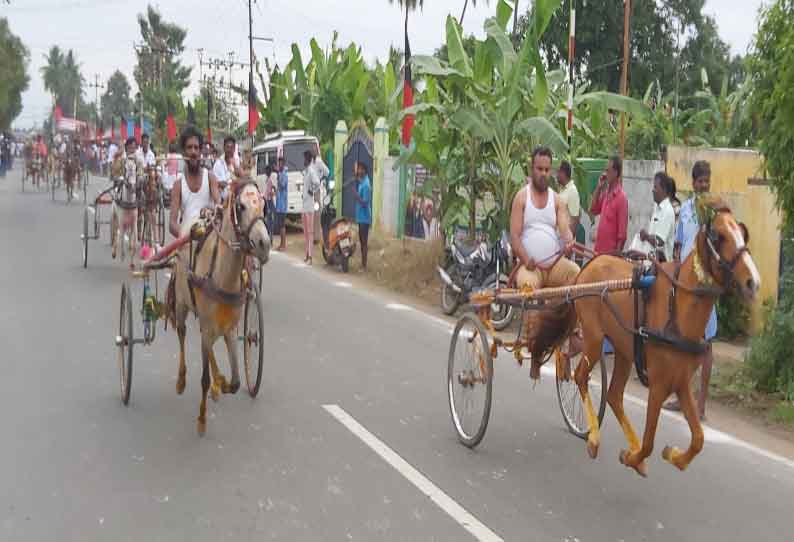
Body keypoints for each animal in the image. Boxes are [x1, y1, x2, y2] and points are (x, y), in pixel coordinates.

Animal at [169, 181, 270, 436]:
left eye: (264, 204)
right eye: (241, 207)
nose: (264, 244)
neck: (224, 274)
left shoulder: (231, 329)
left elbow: (235, 383)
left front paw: (222, 384)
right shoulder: (207, 325)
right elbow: (203, 379)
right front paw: (202, 419)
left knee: (210, 345)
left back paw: (217, 383)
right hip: (183, 304)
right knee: (182, 333)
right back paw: (181, 380)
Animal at [568, 198, 756, 478]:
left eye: (742, 233)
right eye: (719, 236)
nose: (753, 282)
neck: (677, 308)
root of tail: (589, 265)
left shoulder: (681, 383)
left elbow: (698, 439)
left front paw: (672, 455)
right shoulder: (658, 385)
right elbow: (649, 443)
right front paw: (634, 456)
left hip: (623, 349)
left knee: (613, 395)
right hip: (593, 337)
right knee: (580, 375)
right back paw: (594, 438)